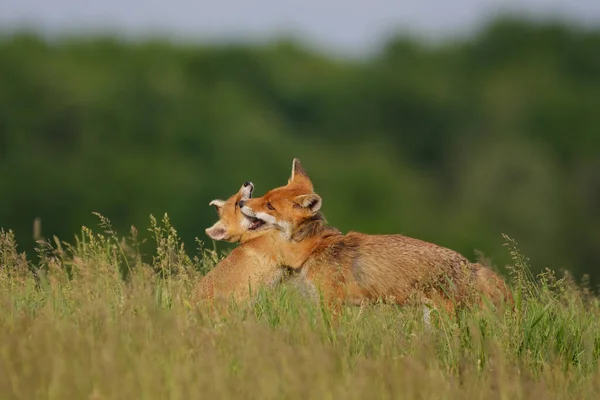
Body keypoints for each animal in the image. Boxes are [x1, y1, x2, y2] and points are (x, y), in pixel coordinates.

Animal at [238, 158, 510, 314]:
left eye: (270, 206)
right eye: (265, 196)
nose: (241, 202)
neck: (314, 249)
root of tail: (470, 266)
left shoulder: (332, 304)